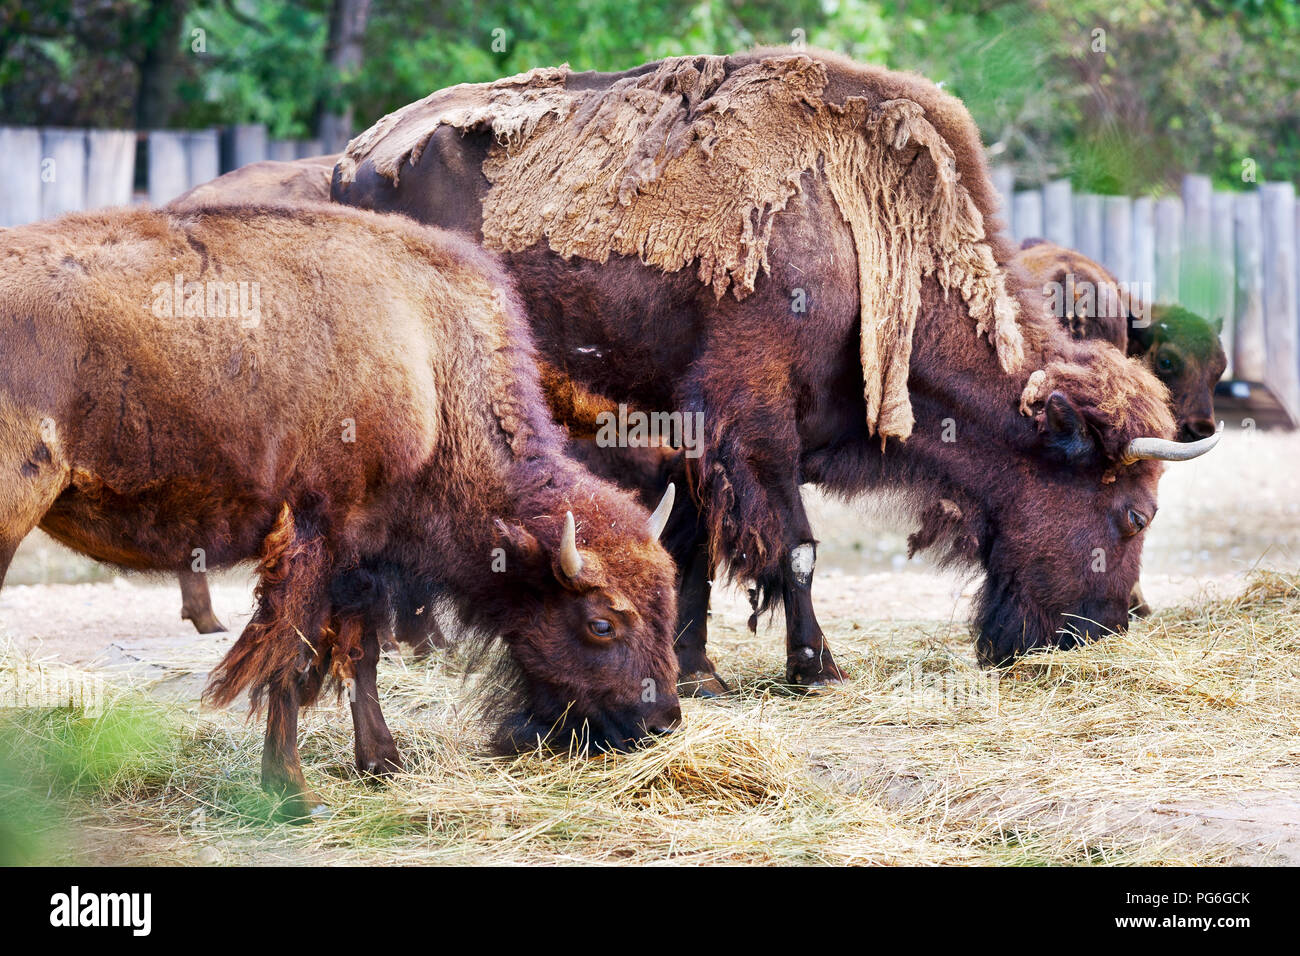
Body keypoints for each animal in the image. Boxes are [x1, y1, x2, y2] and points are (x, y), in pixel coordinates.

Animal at [0, 201, 686, 816]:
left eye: (667, 603)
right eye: (600, 623)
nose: (662, 721)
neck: (430, 368)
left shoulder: (362, 556)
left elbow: (360, 656)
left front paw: (381, 763)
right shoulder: (315, 539)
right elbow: (291, 656)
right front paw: (295, 795)